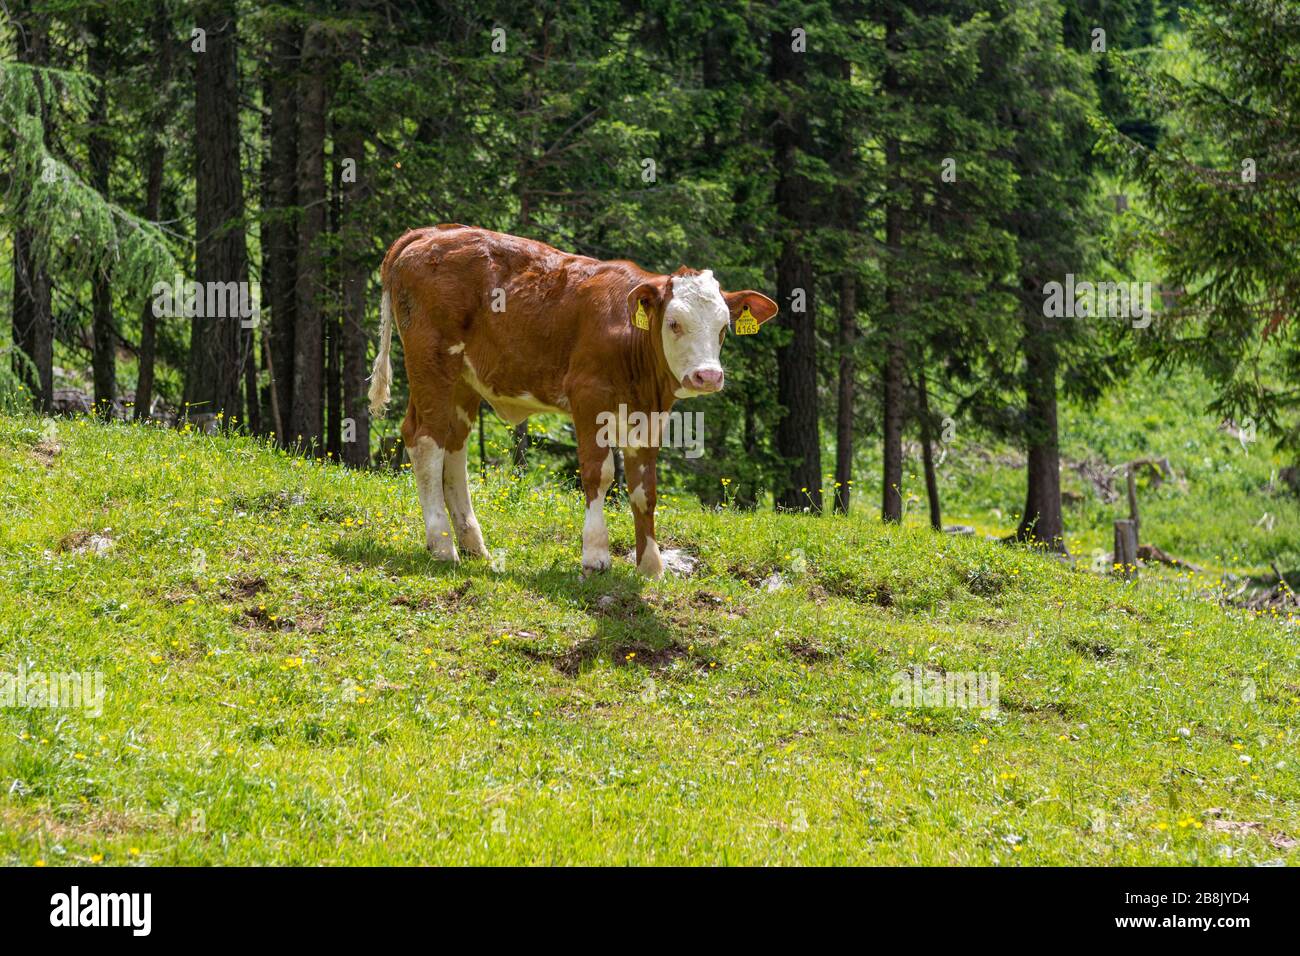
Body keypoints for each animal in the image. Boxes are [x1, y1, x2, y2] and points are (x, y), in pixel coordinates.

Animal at [367, 224, 778, 577]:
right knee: (425, 440)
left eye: (723, 327)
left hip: (463, 381)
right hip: (432, 362)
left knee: (453, 447)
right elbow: (599, 474)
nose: (707, 376)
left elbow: (644, 488)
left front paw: (650, 565)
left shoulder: (649, 416)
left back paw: (473, 545)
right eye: (674, 323)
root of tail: (431, 233)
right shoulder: (588, 399)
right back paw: (442, 546)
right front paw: (595, 555)